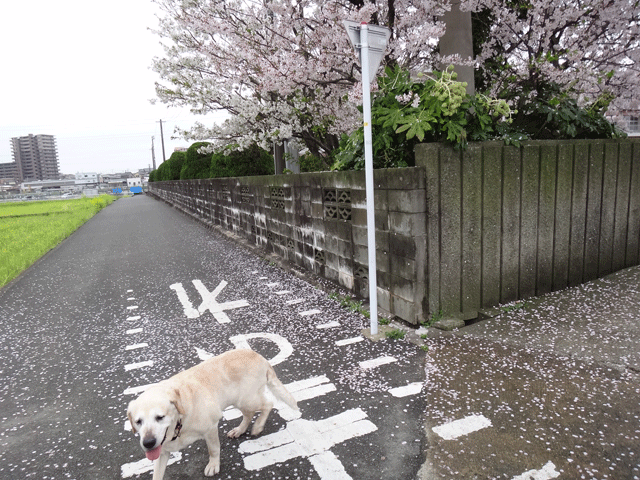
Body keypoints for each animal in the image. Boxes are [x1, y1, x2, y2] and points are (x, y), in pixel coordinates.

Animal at [129, 348, 302, 480]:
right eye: (138, 421)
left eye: (160, 417)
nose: (148, 443)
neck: (179, 423)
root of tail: (260, 357)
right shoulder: (162, 451)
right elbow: (157, 474)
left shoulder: (210, 427)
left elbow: (213, 449)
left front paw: (213, 465)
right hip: (239, 400)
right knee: (249, 414)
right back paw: (239, 430)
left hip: (246, 399)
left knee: (268, 404)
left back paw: (258, 426)